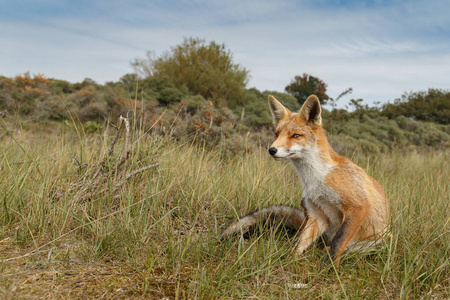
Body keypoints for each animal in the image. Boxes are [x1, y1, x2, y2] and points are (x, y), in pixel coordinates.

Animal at [222, 94, 390, 268]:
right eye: (277, 134)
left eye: (296, 135)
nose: (272, 150)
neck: (316, 178)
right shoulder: (318, 213)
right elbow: (301, 242)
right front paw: (291, 260)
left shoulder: (357, 206)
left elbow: (337, 243)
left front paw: (332, 269)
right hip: (305, 206)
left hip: (374, 243)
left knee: (343, 247)